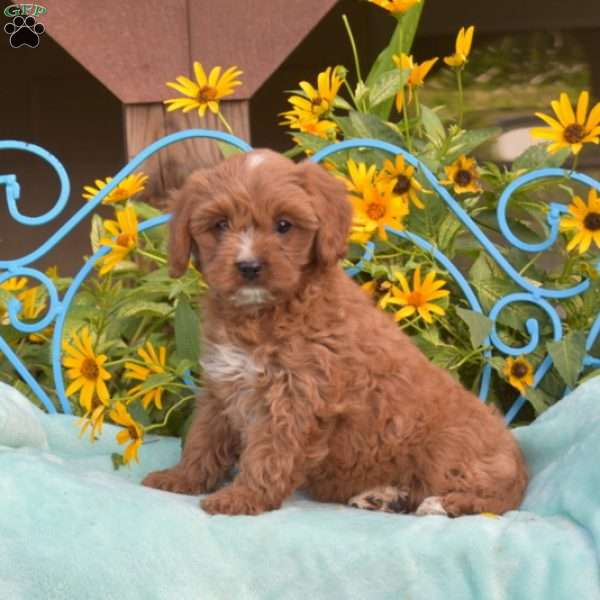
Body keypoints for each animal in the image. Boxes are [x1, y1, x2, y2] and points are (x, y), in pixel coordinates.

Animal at [143, 149, 528, 516]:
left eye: (284, 225)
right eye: (220, 225)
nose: (249, 266)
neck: (262, 314)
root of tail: (521, 466)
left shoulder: (294, 398)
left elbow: (269, 453)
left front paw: (243, 497)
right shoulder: (221, 386)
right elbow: (203, 438)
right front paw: (180, 478)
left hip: (448, 451)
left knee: (491, 499)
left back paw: (440, 504)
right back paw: (383, 497)